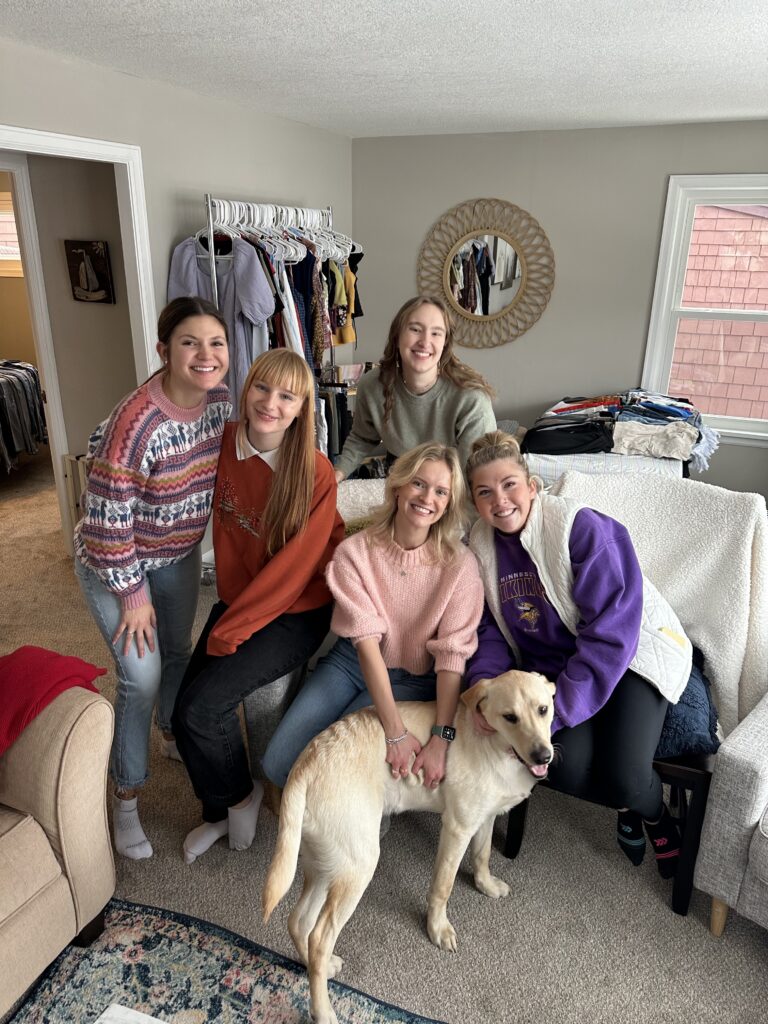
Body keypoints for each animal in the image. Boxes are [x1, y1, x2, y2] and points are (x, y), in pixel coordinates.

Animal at [264, 671, 552, 1024]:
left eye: (543, 710)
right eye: (510, 717)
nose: (543, 756)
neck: (496, 745)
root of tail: (304, 766)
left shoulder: (483, 818)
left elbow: (482, 855)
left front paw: (485, 885)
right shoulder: (457, 828)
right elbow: (443, 887)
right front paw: (437, 929)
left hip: (328, 865)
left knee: (298, 921)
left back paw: (318, 965)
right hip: (358, 867)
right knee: (319, 937)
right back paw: (324, 1010)